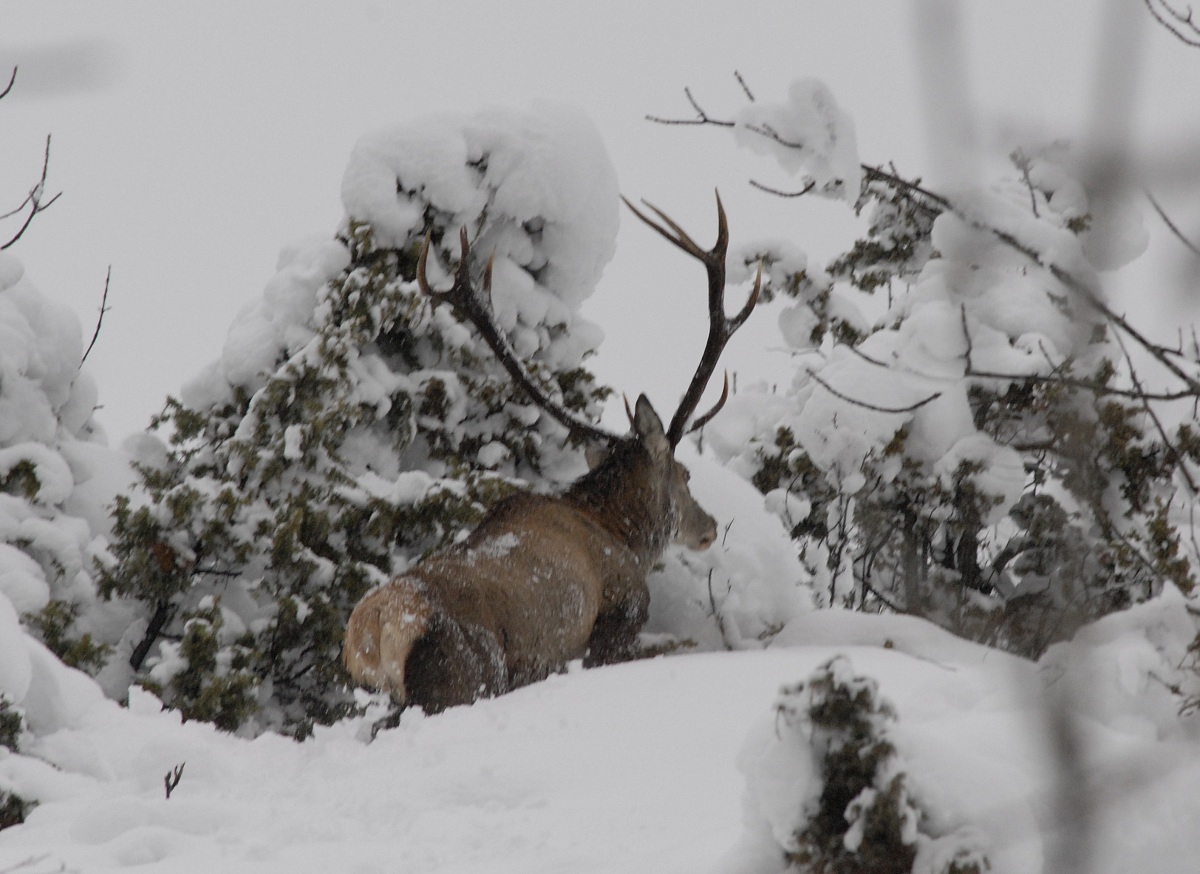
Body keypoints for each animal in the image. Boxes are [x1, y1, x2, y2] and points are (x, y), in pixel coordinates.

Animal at [342, 193, 759, 713]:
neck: (624, 535)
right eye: (684, 475)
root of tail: (375, 638)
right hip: (468, 677)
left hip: (365, 693)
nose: (708, 526)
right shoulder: (619, 615)